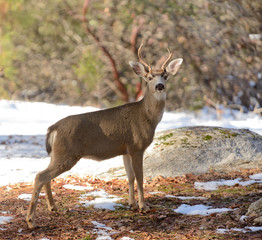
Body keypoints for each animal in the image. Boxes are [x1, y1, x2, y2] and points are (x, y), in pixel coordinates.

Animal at [26, 42, 182, 228]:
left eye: (165, 76)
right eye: (150, 77)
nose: (160, 86)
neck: (147, 116)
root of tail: (53, 128)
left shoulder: (125, 149)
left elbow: (129, 177)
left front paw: (132, 204)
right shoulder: (137, 146)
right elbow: (139, 177)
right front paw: (143, 206)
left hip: (58, 153)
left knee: (46, 177)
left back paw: (53, 208)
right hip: (67, 153)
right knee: (40, 176)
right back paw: (31, 221)